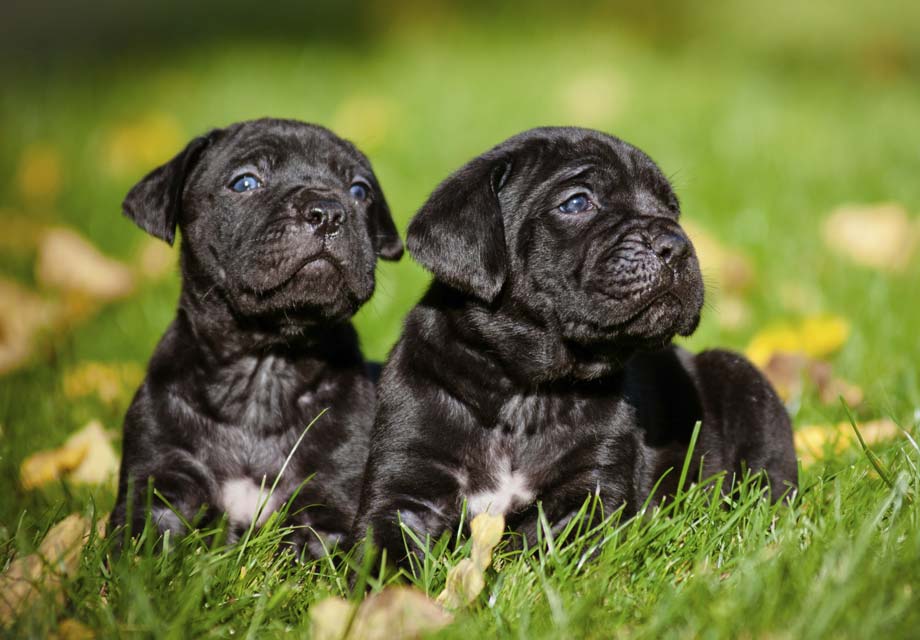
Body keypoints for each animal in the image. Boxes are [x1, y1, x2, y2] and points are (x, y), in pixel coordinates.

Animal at [108, 117, 402, 556]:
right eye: (245, 182)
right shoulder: (159, 479)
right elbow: (139, 546)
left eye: (359, 190)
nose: (329, 212)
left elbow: (312, 549)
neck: (265, 367)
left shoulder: (331, 498)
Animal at [356, 127, 800, 564]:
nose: (676, 244)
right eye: (576, 203)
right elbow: (386, 556)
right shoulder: (406, 487)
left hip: (744, 382)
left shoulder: (592, 490)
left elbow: (555, 550)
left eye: (672, 210)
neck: (525, 392)